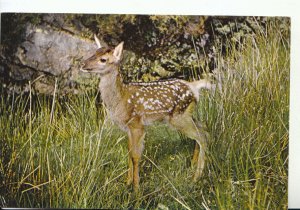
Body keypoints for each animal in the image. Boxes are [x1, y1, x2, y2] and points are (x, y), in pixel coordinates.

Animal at [81, 34, 213, 192]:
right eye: (94, 53)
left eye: (103, 59)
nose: (83, 64)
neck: (120, 98)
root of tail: (194, 86)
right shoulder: (128, 128)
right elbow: (129, 152)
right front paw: (127, 183)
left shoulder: (137, 124)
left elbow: (136, 156)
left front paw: (136, 189)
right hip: (187, 114)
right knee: (204, 127)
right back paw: (193, 166)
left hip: (179, 118)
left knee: (202, 136)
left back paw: (196, 177)